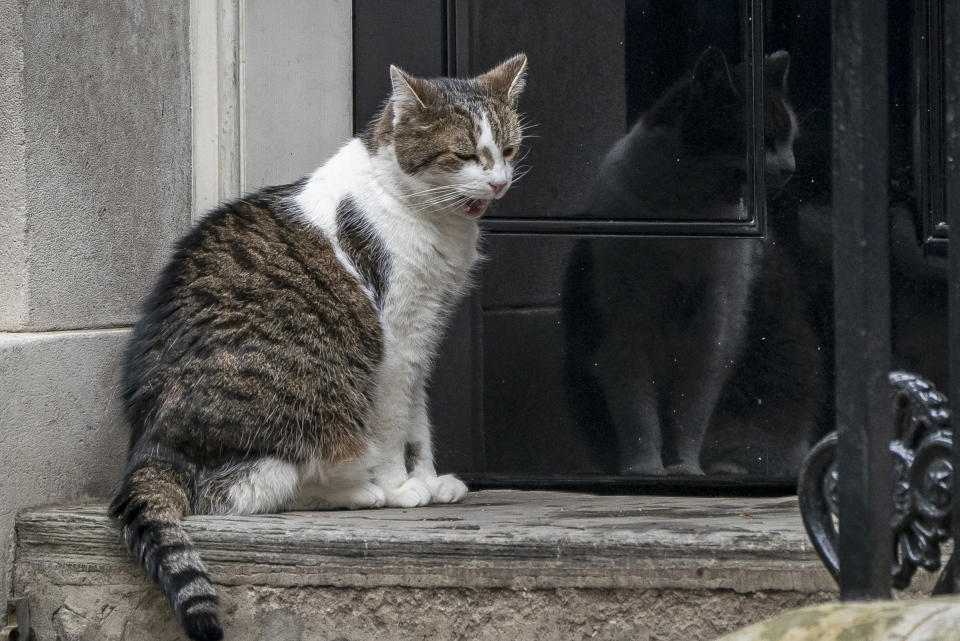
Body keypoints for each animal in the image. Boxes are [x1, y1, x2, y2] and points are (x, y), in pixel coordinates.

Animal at [113, 55, 532, 640]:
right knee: (240, 494)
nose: (498, 183)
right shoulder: (395, 342)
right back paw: (363, 492)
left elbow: (419, 423)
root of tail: (149, 443)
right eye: (466, 154)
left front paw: (428, 479)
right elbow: (391, 427)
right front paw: (401, 487)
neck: (422, 208)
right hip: (310, 399)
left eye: (509, 149)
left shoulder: (423, 337)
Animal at [568, 47, 796, 472]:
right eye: (765, 140)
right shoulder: (622, 324)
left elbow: (691, 407)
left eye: (791, 140)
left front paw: (686, 467)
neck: (687, 212)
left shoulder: (713, 320)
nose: (792, 169)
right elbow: (636, 409)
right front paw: (645, 469)